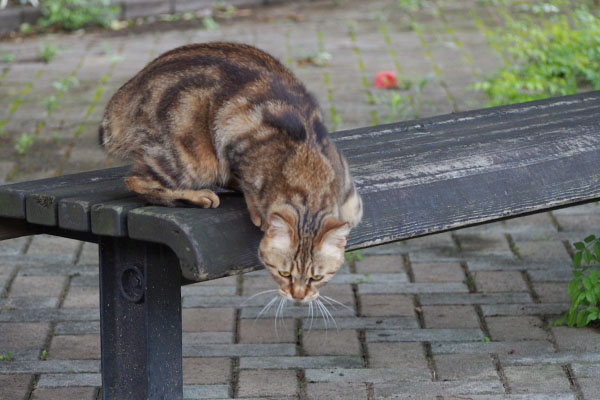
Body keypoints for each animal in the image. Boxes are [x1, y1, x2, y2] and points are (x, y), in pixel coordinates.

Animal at [99, 42, 360, 302]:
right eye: (284, 273)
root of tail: (122, 97)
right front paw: (256, 208)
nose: (298, 295)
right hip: (194, 157)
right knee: (137, 180)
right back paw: (197, 196)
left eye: (318, 277)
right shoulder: (234, 126)